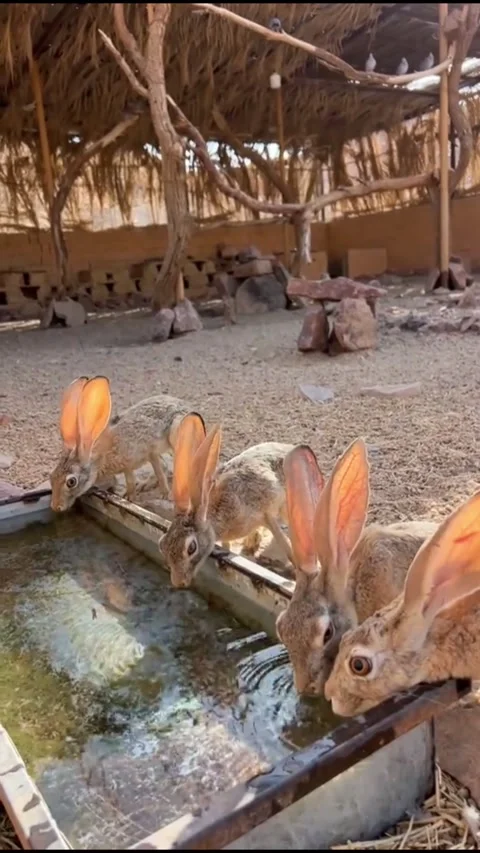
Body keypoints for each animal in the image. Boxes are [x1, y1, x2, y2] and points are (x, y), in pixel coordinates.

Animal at [50, 375, 195, 512]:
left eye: (71, 482)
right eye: (51, 477)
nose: (56, 507)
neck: (99, 459)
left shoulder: (148, 451)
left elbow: (159, 472)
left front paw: (165, 495)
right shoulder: (128, 466)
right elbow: (130, 481)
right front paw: (128, 498)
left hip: (177, 434)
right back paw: (143, 485)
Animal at [159, 412, 295, 588]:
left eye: (191, 548)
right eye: (162, 545)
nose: (178, 582)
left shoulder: (265, 513)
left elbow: (284, 543)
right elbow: (227, 547)